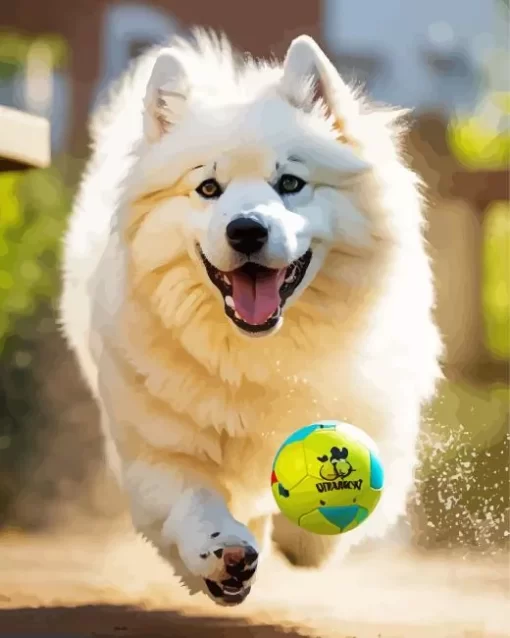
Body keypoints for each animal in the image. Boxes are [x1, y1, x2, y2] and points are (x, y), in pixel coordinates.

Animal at [59, 30, 442, 608]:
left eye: (290, 183)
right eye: (208, 188)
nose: (245, 230)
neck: (258, 351)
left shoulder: (380, 426)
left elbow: (330, 516)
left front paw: (304, 531)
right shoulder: (156, 451)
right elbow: (194, 505)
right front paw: (224, 554)